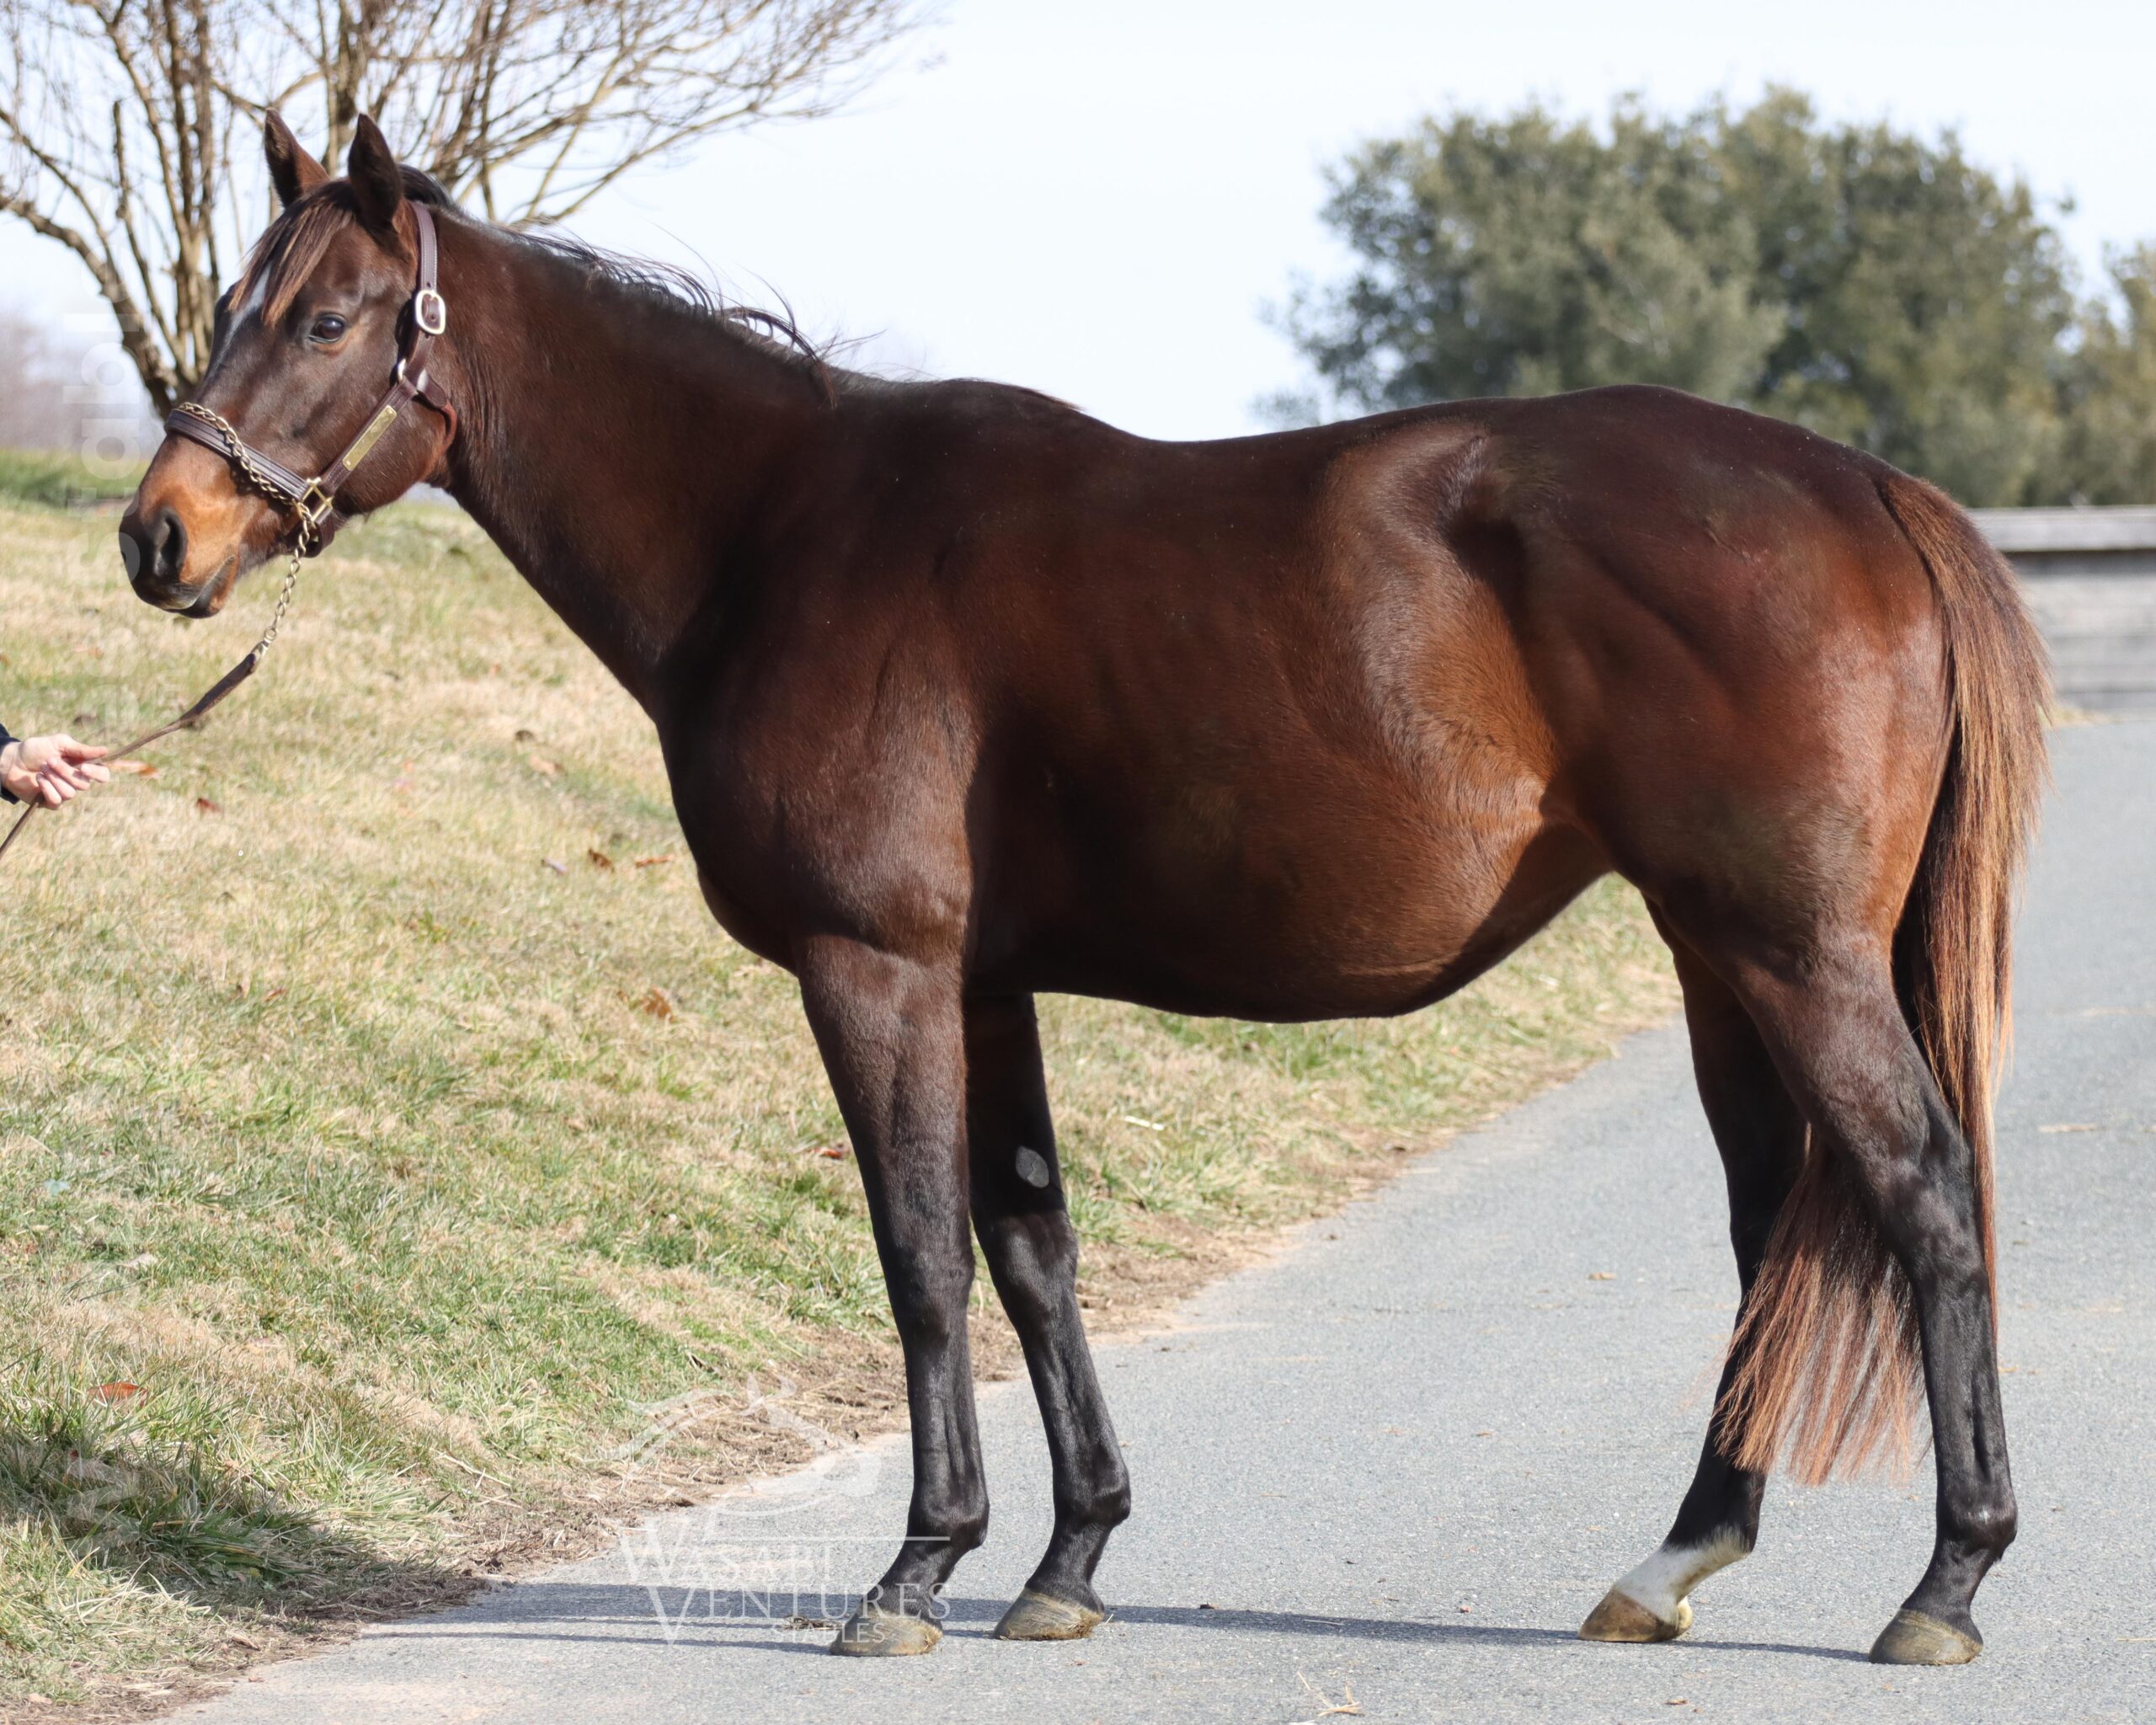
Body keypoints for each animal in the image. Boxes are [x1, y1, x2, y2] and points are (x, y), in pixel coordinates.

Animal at [118, 113, 2049, 1666]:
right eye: (230, 304)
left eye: (324, 318)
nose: (160, 536)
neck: (779, 532)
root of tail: (1865, 488)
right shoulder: (985, 984)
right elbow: (1032, 1244)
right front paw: (1066, 1557)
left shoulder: (876, 970)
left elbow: (919, 1253)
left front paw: (917, 1569)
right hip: (1721, 959)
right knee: (1772, 1226)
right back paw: (1680, 1555)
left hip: (1791, 954)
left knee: (1926, 1195)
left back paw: (1946, 1584)